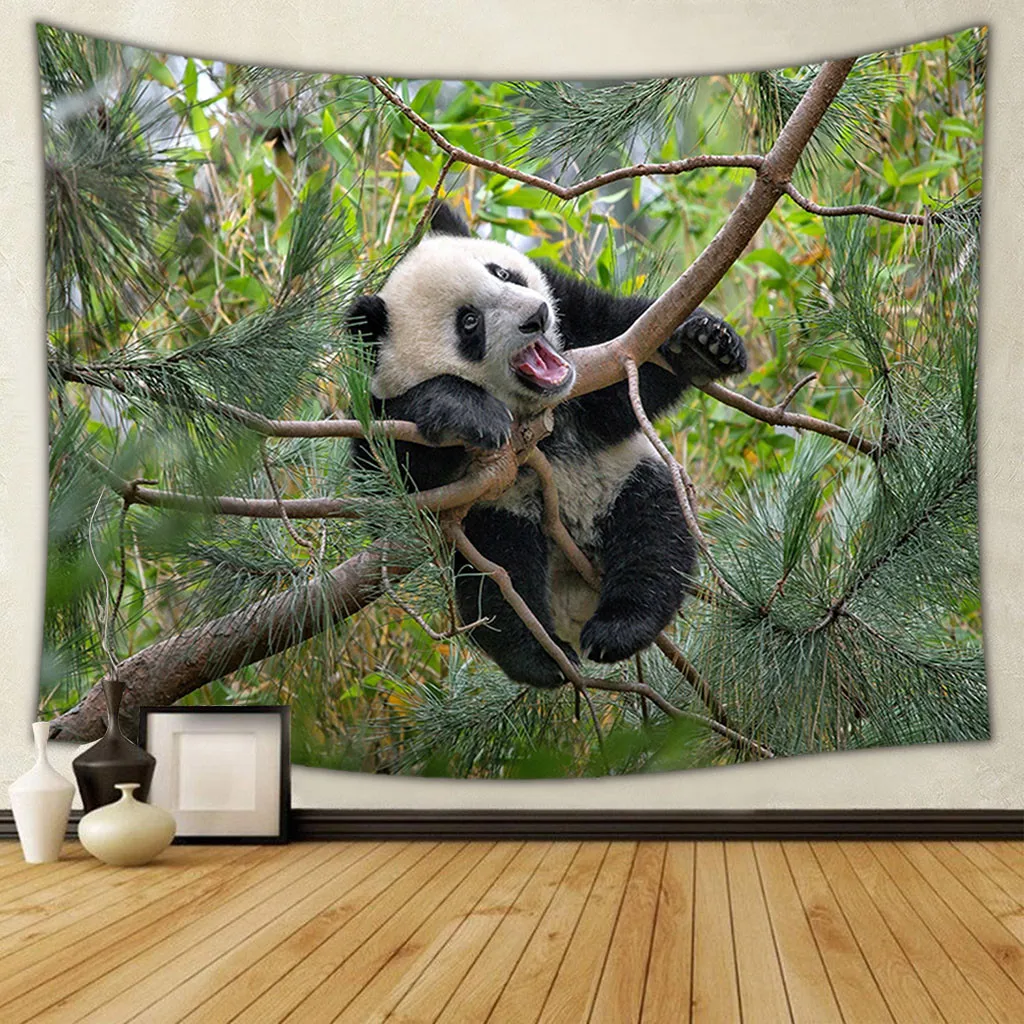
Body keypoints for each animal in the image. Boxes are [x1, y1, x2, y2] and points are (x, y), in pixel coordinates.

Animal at [348, 204, 747, 688]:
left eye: (502, 273)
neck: (532, 409)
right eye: (469, 322)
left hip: (630, 474)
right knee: (500, 582)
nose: (535, 317)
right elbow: (386, 486)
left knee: (654, 534)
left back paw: (620, 626)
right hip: (498, 518)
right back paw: (544, 656)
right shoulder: (374, 399)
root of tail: (576, 595)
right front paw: (465, 409)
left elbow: (622, 359)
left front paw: (703, 344)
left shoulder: (578, 323)